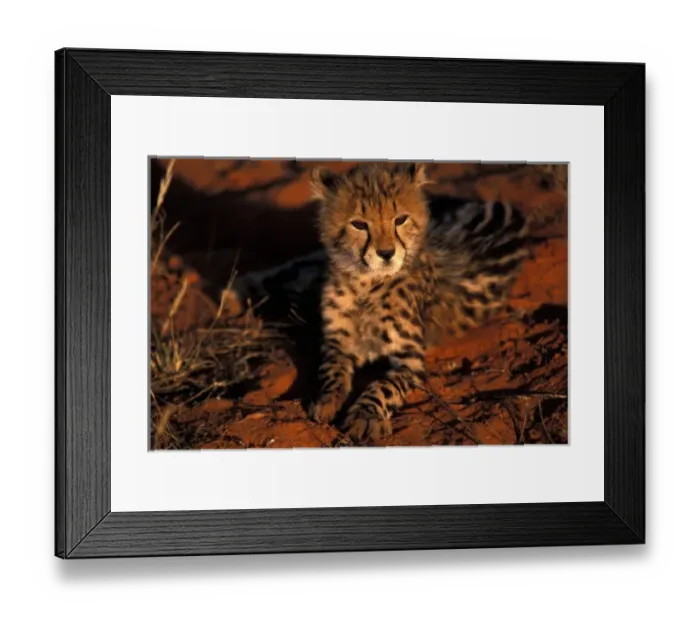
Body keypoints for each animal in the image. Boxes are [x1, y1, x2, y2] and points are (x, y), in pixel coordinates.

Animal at [225, 162, 530, 444]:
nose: (386, 253)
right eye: (359, 224)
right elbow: (332, 371)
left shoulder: (410, 359)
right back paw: (234, 293)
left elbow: (384, 384)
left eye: (400, 220)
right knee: (298, 267)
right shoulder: (337, 342)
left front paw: (366, 416)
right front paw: (327, 401)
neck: (366, 283)